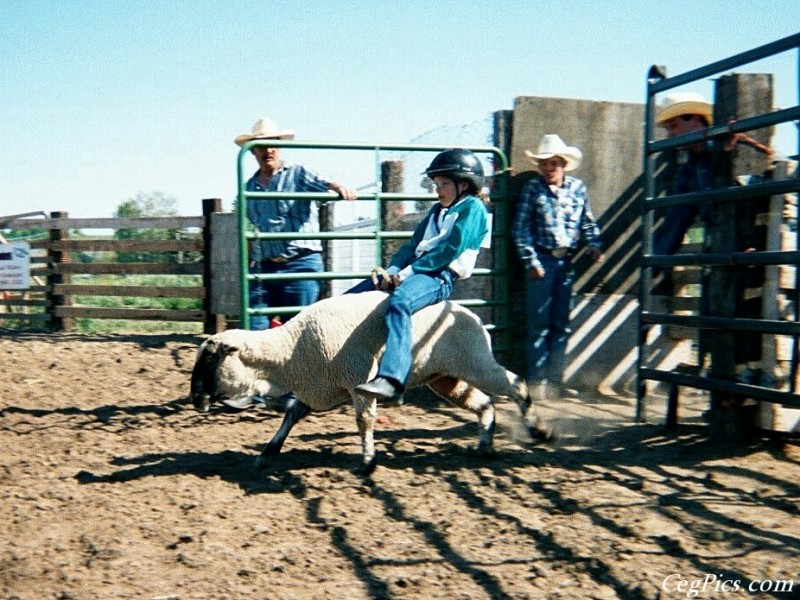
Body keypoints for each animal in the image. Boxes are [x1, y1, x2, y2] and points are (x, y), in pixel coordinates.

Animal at [189, 290, 552, 474]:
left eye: (210, 358)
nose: (194, 398)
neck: (289, 352)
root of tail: (472, 315)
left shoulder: (358, 381)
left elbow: (364, 421)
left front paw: (367, 461)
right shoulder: (316, 389)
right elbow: (290, 417)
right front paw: (268, 453)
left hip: (475, 362)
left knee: (516, 385)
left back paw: (538, 430)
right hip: (445, 378)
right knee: (484, 403)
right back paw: (485, 446)